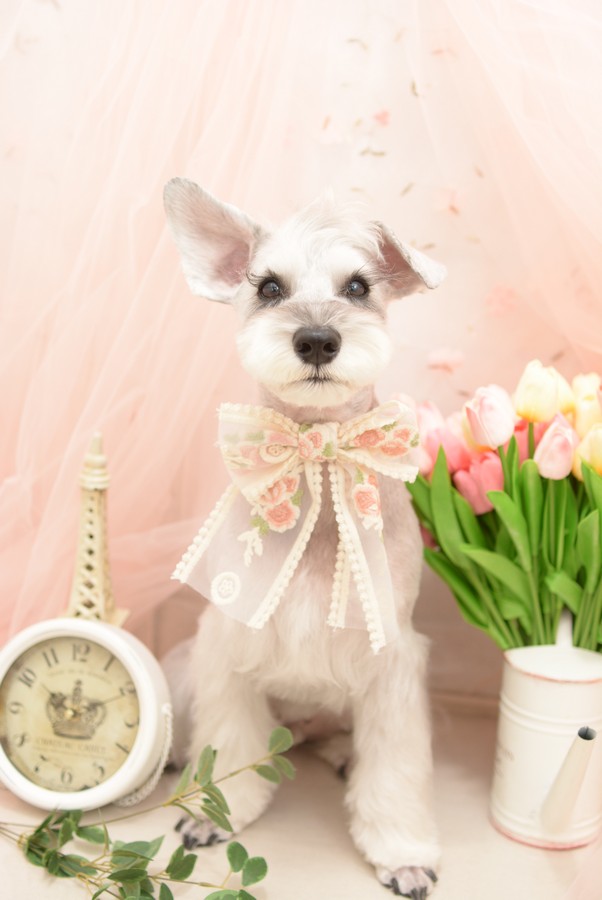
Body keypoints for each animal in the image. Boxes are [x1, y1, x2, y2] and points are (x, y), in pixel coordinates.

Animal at [162, 178, 446, 899]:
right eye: (268, 287)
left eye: (358, 287)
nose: (317, 340)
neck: (316, 459)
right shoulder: (229, 641)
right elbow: (229, 739)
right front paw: (216, 813)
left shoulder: (393, 661)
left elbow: (395, 768)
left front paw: (402, 851)